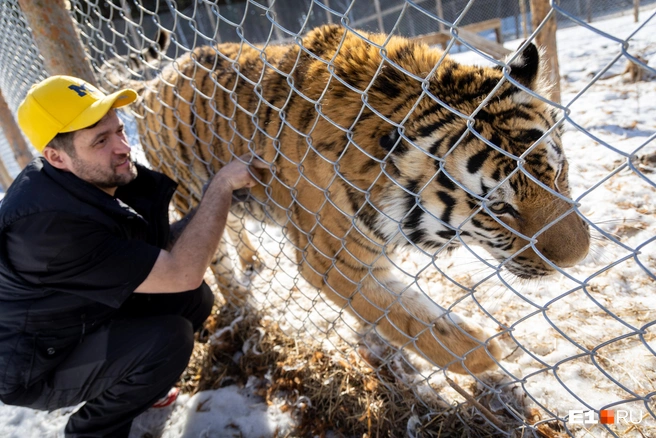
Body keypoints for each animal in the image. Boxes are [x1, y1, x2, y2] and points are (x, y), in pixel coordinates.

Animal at [102, 24, 590, 374]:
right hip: (187, 190)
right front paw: (485, 352)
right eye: (499, 208)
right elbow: (408, 318)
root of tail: (153, 82)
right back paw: (242, 303)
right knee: (215, 258)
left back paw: (252, 259)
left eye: (558, 172)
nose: (580, 257)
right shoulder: (331, 260)